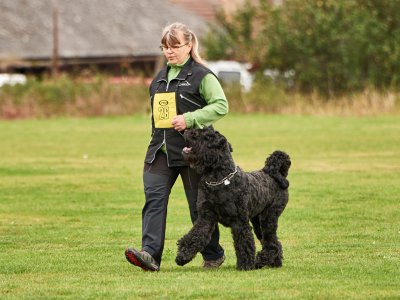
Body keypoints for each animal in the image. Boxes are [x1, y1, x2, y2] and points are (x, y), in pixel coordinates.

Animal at [175, 127, 290, 270]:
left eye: (207, 136)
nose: (186, 130)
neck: (218, 178)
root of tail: (277, 175)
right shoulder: (206, 217)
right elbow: (195, 236)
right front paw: (183, 256)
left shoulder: (239, 222)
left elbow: (244, 243)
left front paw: (245, 265)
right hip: (257, 221)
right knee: (274, 242)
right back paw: (275, 263)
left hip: (268, 218)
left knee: (271, 243)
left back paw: (260, 261)